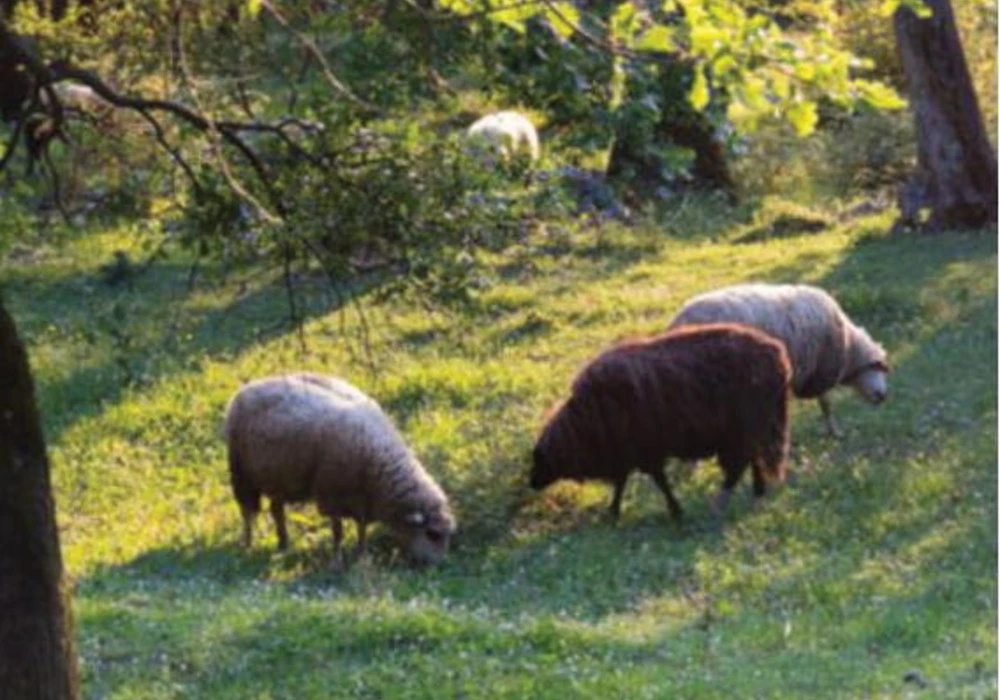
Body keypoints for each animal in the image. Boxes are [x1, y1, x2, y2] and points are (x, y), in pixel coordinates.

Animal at [225, 374, 456, 568]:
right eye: (432, 534)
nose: (440, 566)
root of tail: (248, 387)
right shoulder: (332, 495)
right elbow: (338, 531)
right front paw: (337, 560)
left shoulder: (362, 501)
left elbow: (361, 529)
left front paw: (362, 555)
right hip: (241, 473)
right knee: (247, 512)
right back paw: (248, 544)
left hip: (279, 476)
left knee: (276, 510)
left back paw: (284, 544)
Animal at [528, 324, 792, 520]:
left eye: (540, 459)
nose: (532, 483)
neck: (586, 420)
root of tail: (778, 356)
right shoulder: (628, 454)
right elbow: (622, 482)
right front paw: (613, 511)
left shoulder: (645, 452)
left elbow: (658, 481)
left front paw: (675, 510)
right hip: (755, 428)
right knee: (753, 460)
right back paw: (757, 492)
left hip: (743, 429)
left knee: (737, 468)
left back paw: (719, 507)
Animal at [668, 284, 888, 438]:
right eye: (877, 367)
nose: (883, 396)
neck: (849, 347)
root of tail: (679, 321)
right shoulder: (819, 370)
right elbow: (826, 404)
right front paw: (835, 432)